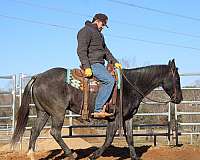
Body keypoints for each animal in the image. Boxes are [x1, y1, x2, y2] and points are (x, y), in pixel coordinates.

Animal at [10, 59, 183, 159]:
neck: (130, 85)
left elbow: (130, 137)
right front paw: (94, 155)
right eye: (177, 78)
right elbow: (109, 139)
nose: (179, 98)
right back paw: (71, 154)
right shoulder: (114, 117)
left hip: (44, 112)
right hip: (58, 112)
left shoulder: (128, 117)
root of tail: (38, 76)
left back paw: (31, 154)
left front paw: (134, 157)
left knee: (35, 130)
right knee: (55, 132)